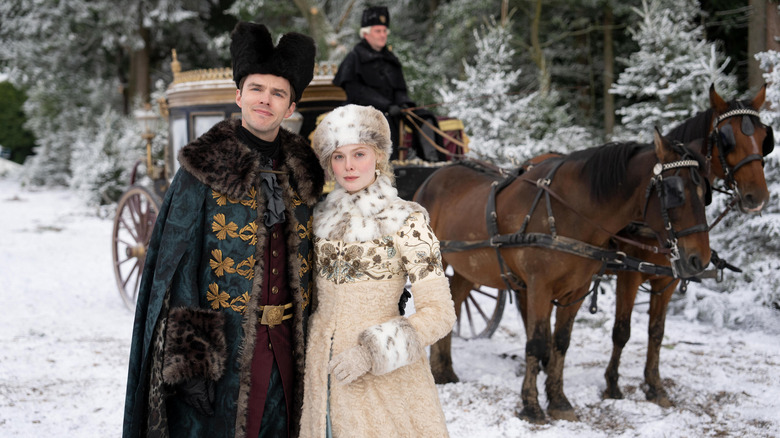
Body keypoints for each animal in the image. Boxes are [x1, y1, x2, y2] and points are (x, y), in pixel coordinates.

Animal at [414, 129, 712, 420]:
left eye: (705, 192)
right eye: (676, 192)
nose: (700, 259)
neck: (569, 212)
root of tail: (432, 178)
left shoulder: (577, 290)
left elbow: (561, 342)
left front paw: (559, 401)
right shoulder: (539, 287)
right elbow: (536, 342)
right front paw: (532, 406)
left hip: (468, 267)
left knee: (454, 301)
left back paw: (444, 371)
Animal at [604, 84, 772, 408]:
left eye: (763, 137)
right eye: (726, 138)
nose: (757, 197)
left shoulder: (668, 278)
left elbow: (656, 332)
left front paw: (654, 385)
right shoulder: (628, 275)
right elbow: (622, 331)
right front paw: (612, 384)